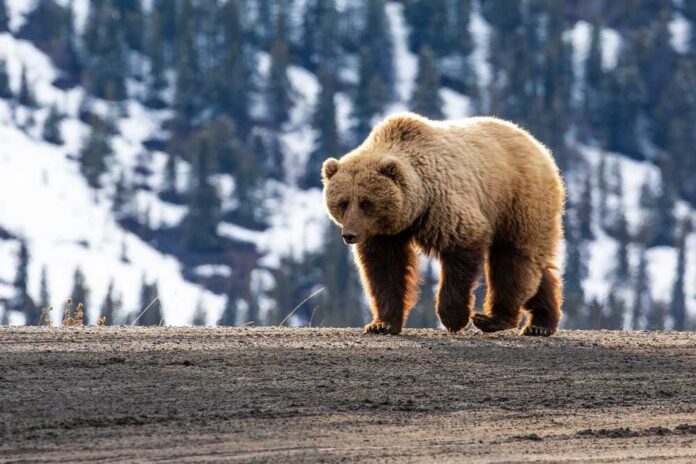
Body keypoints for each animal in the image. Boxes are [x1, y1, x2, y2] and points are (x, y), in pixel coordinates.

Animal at [321, 112, 565, 336]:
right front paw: (382, 324)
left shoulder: (443, 205)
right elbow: (385, 270)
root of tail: (538, 145)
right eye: (343, 203)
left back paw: (493, 319)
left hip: (517, 199)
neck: (415, 207)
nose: (349, 234)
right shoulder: (383, 234)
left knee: (513, 259)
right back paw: (540, 323)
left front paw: (454, 318)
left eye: (366, 203)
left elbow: (462, 250)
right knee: (536, 268)